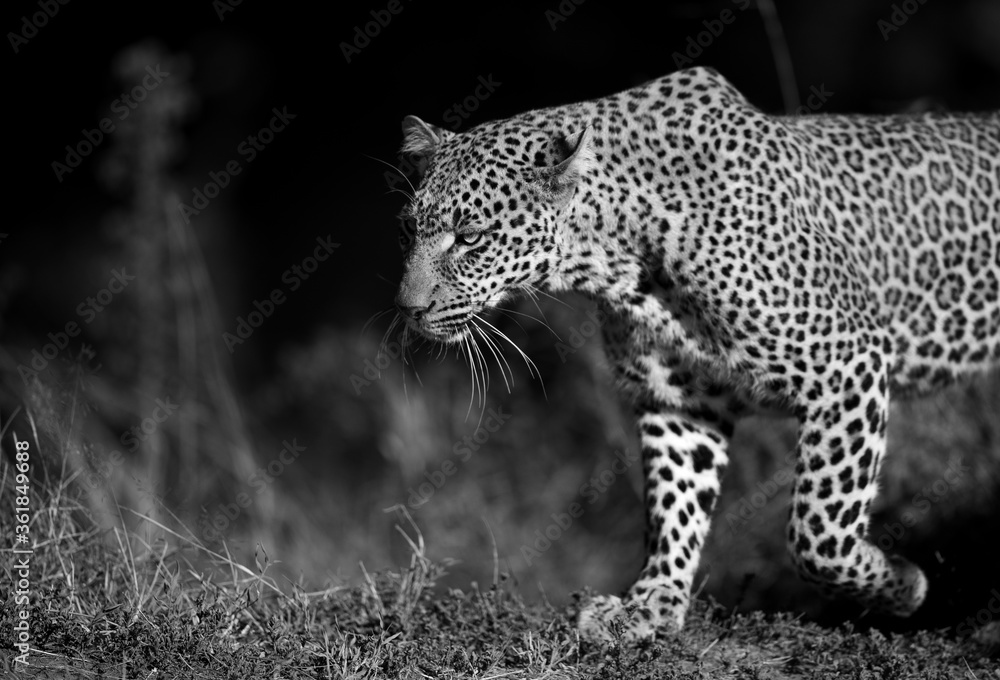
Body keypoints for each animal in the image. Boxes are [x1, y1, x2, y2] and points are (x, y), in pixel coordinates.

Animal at [390, 66, 1000, 641]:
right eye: (410, 231)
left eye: (470, 237)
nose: (408, 308)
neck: (617, 259)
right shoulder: (680, 400)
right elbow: (675, 503)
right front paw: (649, 605)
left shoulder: (847, 365)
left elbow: (819, 531)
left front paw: (904, 585)